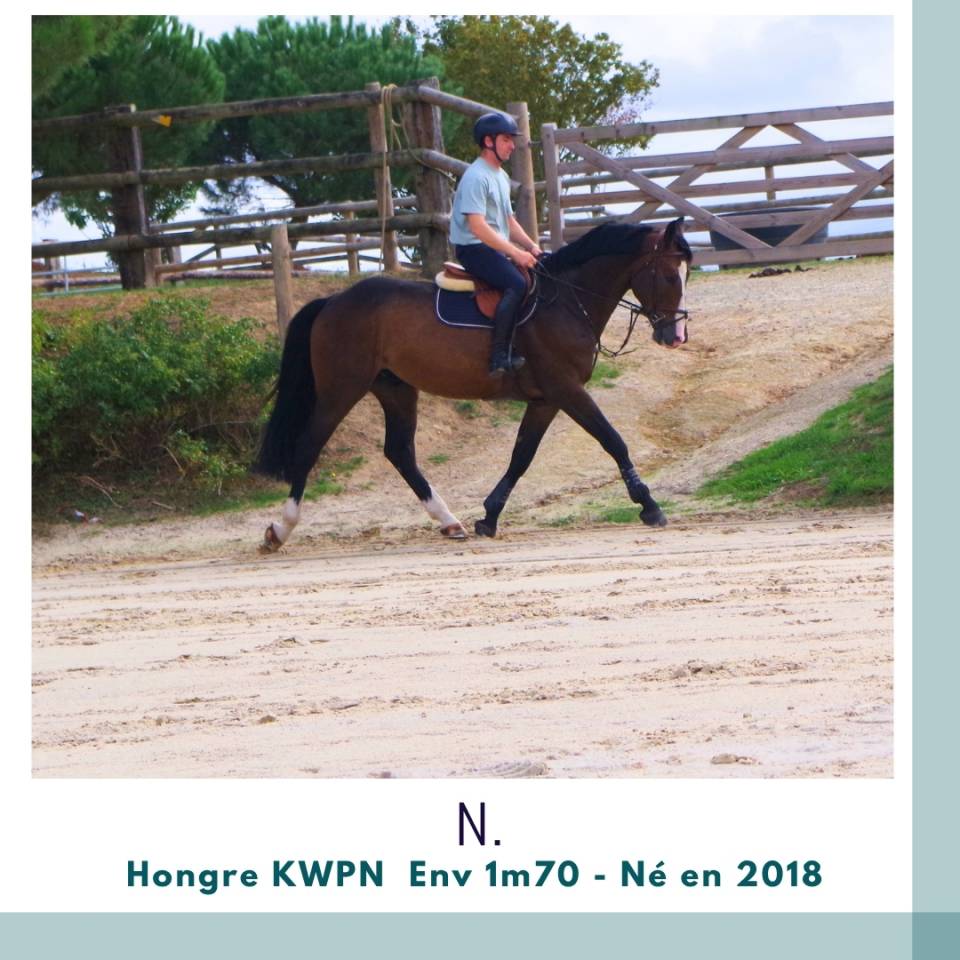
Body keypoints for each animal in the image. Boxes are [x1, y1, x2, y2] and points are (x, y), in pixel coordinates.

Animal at [254, 218, 692, 552]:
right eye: (671, 276)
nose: (675, 337)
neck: (567, 300)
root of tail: (333, 301)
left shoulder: (546, 400)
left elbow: (521, 457)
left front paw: (489, 515)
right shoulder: (567, 390)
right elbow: (613, 440)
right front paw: (649, 505)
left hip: (395, 388)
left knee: (400, 452)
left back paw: (449, 521)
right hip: (341, 389)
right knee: (309, 447)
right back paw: (280, 529)